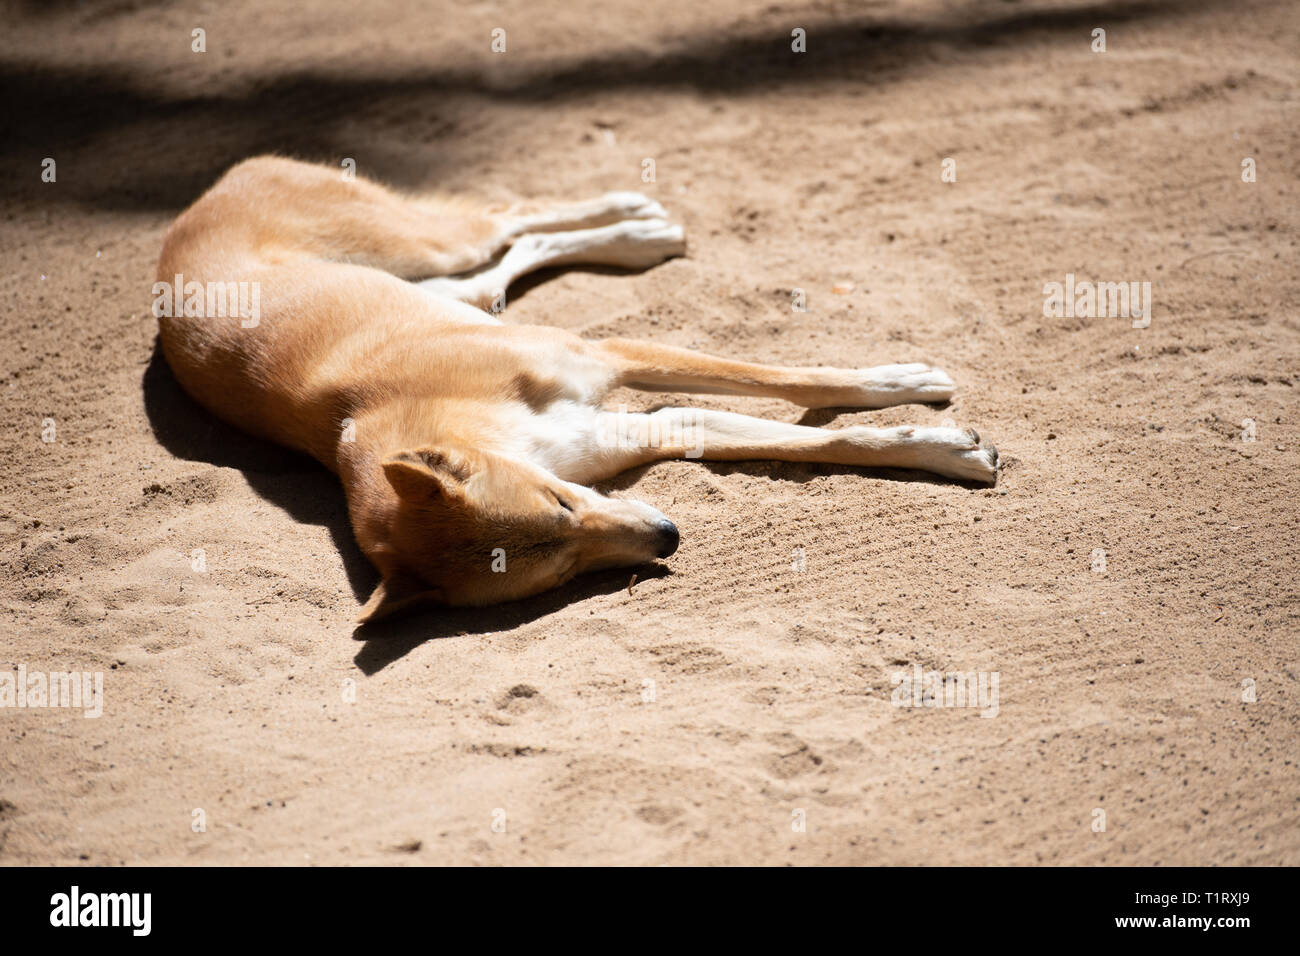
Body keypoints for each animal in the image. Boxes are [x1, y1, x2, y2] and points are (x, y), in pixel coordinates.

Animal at [157, 156, 998, 621]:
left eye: (560, 506)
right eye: (560, 567)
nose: (668, 537)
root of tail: (209, 188)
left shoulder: (606, 356)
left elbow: (796, 379)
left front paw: (901, 384)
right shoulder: (654, 424)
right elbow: (822, 438)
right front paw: (941, 449)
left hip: (427, 245)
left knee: (509, 218)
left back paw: (628, 220)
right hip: (444, 281)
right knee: (504, 260)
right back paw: (632, 235)